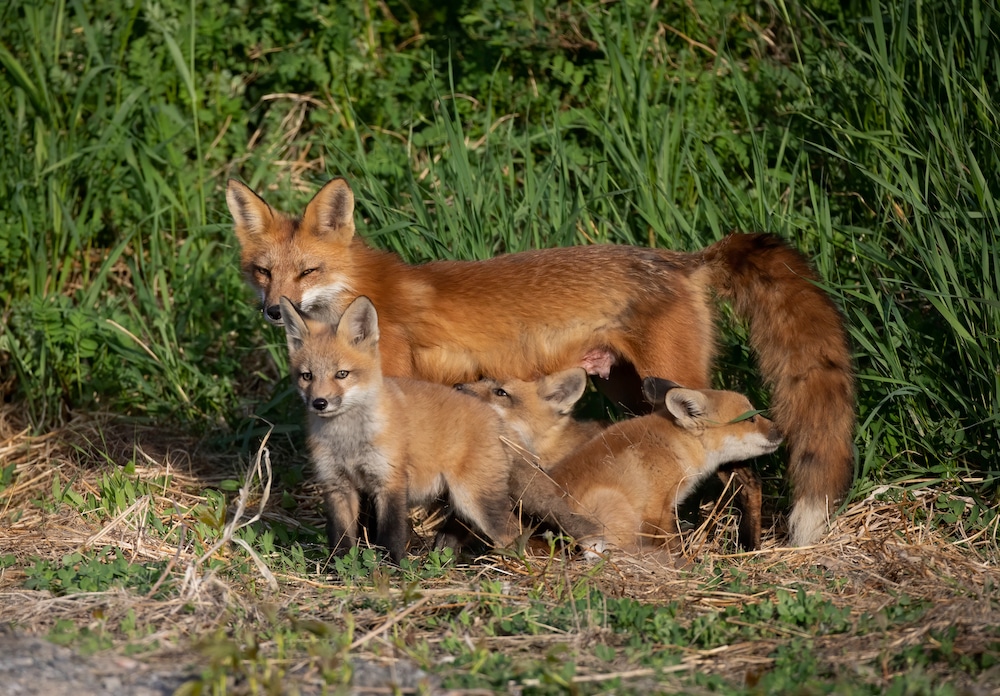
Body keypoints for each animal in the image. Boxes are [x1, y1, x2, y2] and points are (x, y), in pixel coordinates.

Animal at [280, 292, 592, 560]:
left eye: (342, 374)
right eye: (307, 376)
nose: (319, 403)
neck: (348, 440)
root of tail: (496, 421)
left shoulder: (390, 482)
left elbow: (391, 534)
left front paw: (392, 570)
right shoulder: (336, 485)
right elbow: (341, 538)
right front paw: (338, 568)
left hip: (474, 498)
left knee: (512, 532)